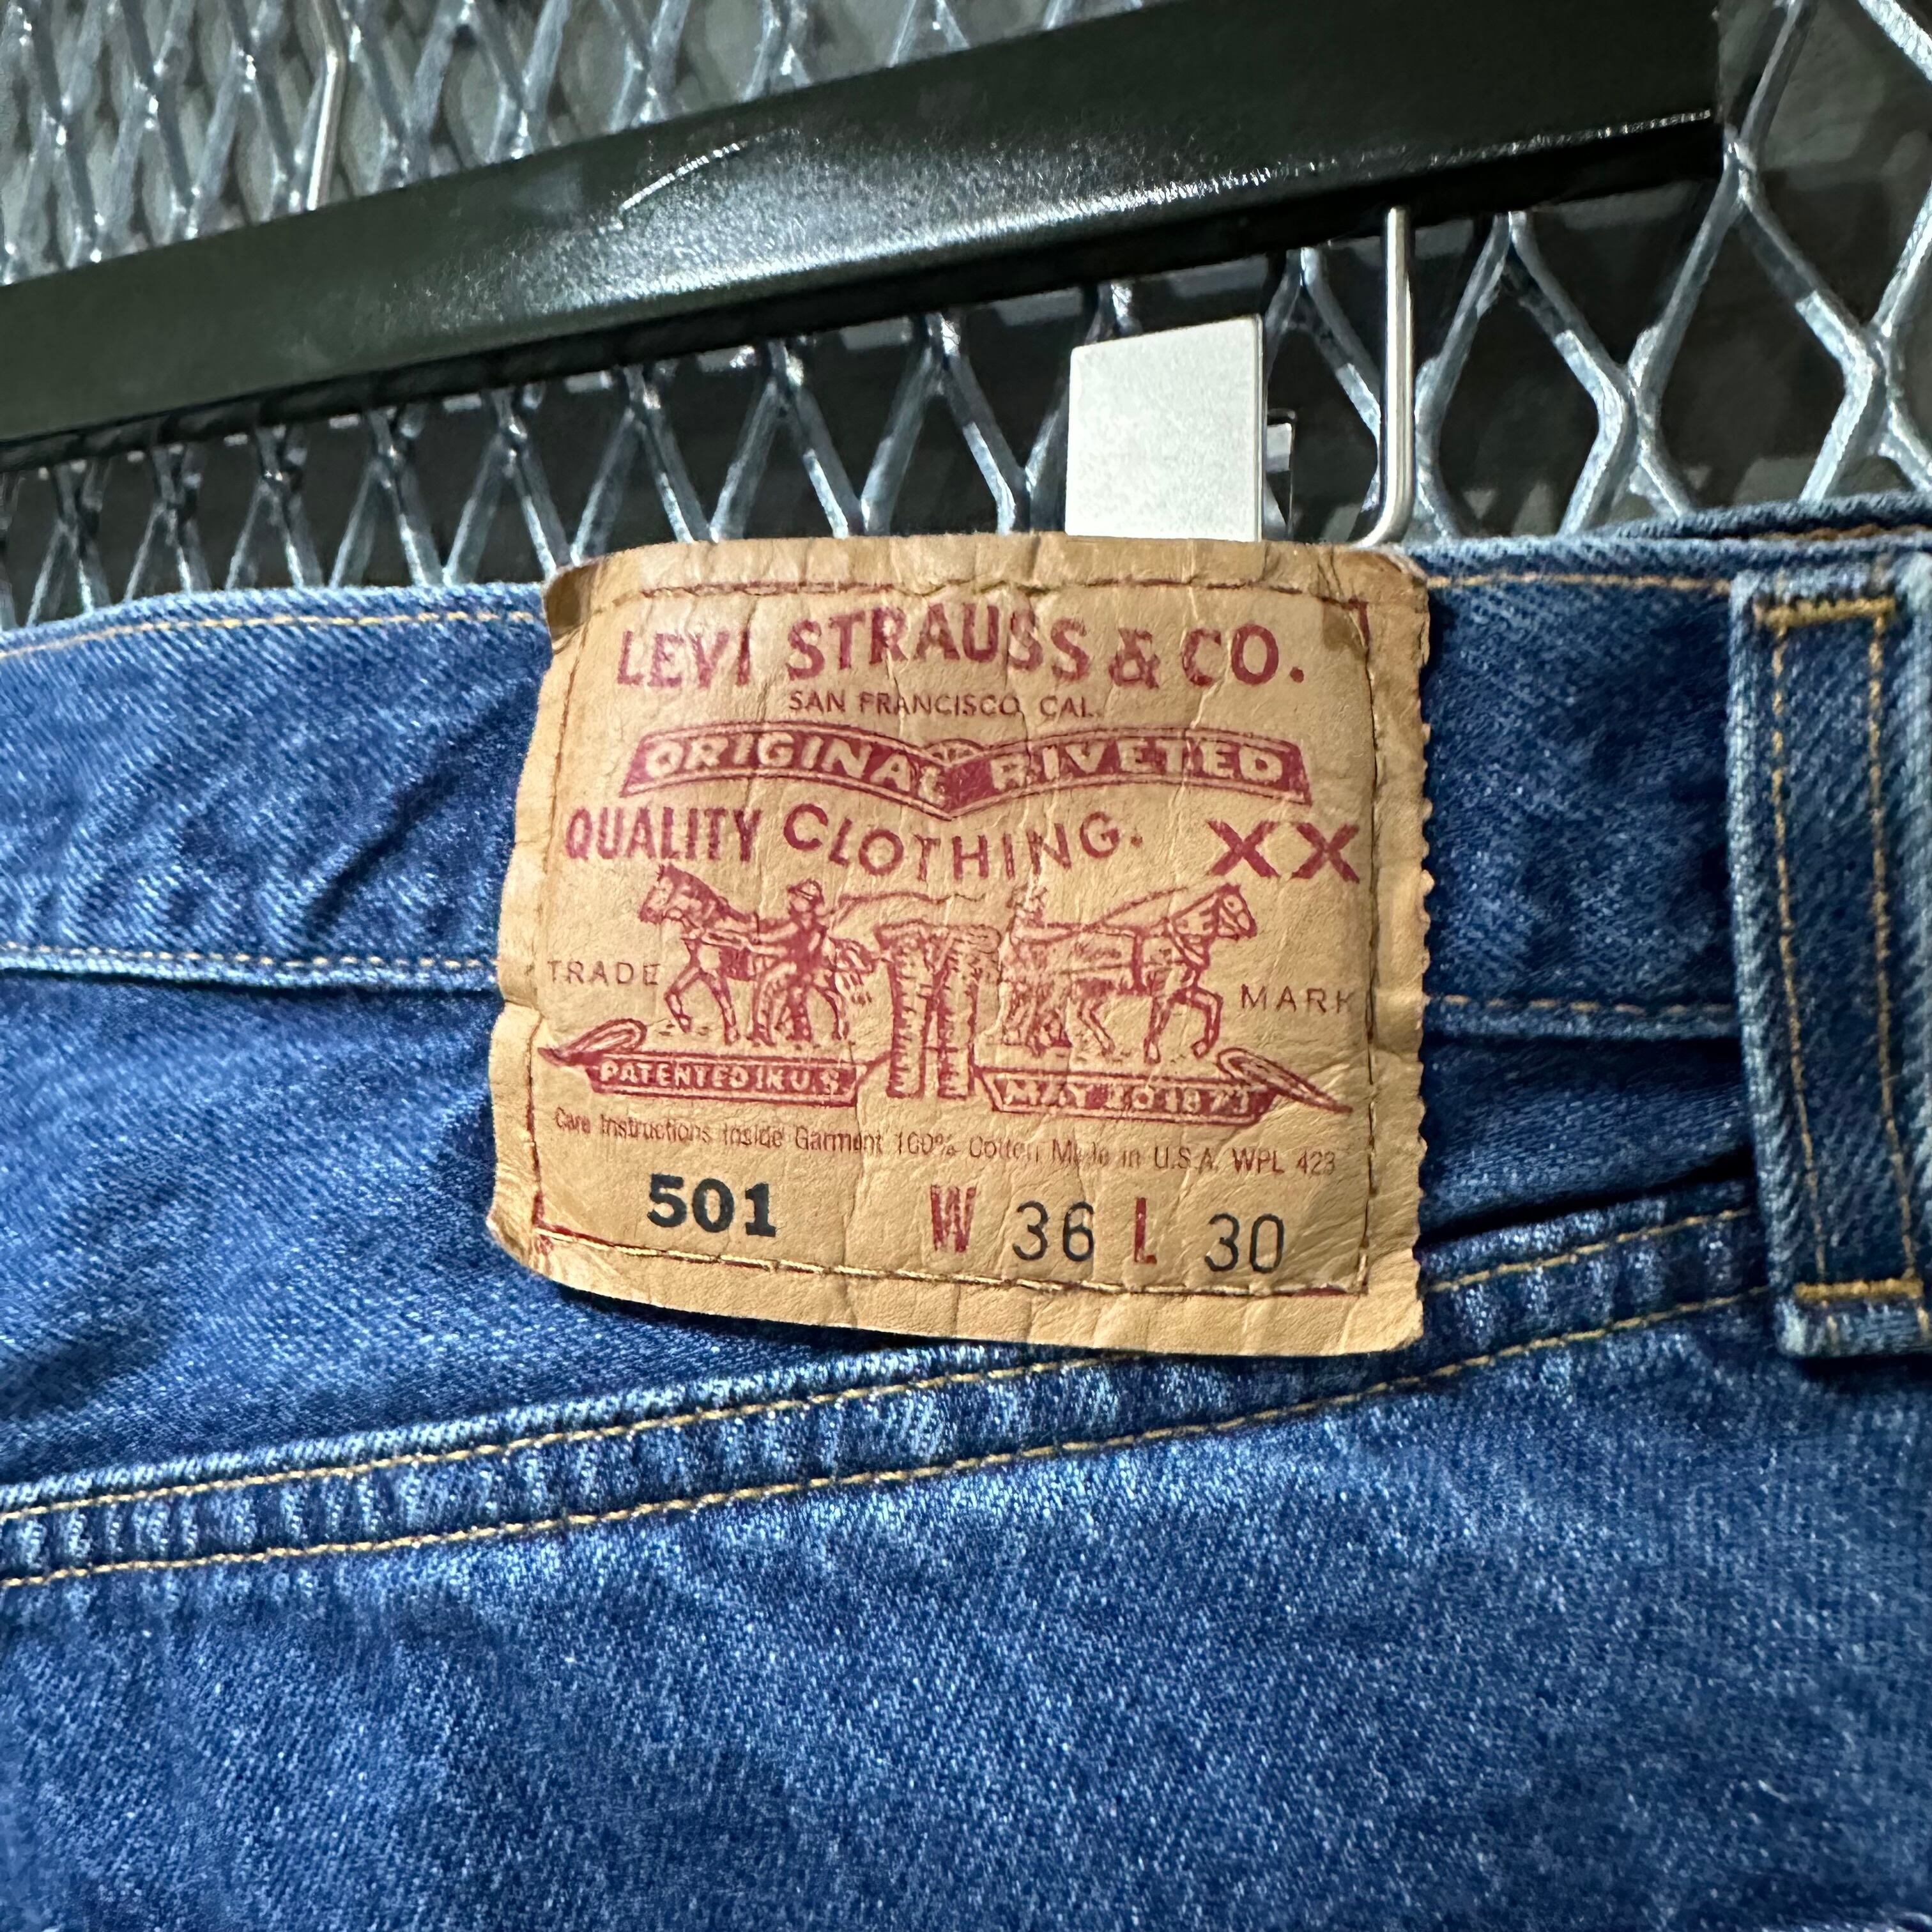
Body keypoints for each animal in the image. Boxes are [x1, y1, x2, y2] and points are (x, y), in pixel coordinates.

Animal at [636, 864, 873, 1047]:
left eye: (662, 889)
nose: (645, 913)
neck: (709, 922)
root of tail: (830, 941)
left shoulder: (713, 972)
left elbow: (725, 1004)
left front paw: (732, 1038)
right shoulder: (698, 966)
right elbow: (671, 993)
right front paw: (686, 1022)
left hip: (817, 979)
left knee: (837, 999)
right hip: (817, 981)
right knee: (834, 998)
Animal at [999, 882, 1258, 1065]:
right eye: (1232, 905)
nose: (1253, 929)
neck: (1179, 942)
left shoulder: (1184, 990)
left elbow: (1213, 1004)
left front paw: (1201, 1047)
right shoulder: (1164, 994)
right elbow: (1158, 1023)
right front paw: (1152, 1055)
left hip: (1097, 989)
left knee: (1083, 1013)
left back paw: (1105, 1045)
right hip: (1061, 990)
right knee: (1040, 1011)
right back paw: (1032, 1044)